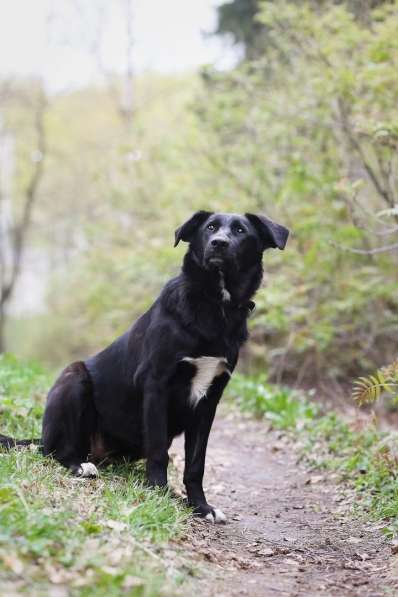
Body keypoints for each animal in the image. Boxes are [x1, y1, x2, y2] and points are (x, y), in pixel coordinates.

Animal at [0, 212, 288, 520]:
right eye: (210, 227)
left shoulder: (209, 401)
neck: (215, 305)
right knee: (56, 451)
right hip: (74, 377)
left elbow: (196, 463)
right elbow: (159, 451)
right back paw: (79, 466)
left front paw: (200, 507)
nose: (218, 243)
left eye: (240, 230)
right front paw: (158, 494)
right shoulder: (157, 385)